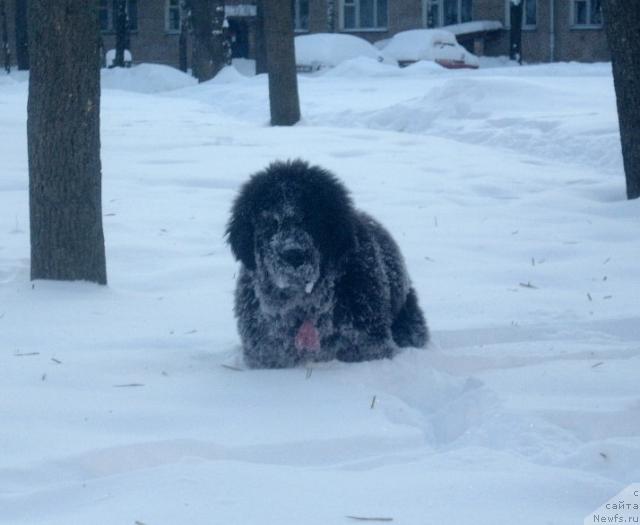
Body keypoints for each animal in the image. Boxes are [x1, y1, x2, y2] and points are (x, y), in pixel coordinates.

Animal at [228, 160, 428, 368]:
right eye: (271, 221)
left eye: (311, 219)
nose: (293, 255)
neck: (304, 306)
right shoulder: (266, 352)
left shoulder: (368, 344)